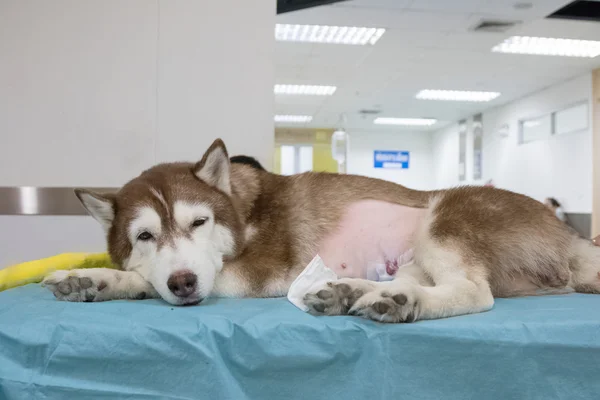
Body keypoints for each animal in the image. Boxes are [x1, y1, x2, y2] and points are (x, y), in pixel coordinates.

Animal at [43, 140, 600, 322]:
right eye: (144, 237)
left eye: (198, 222)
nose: (183, 284)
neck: (244, 212)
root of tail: (569, 234)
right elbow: (133, 274)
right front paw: (90, 278)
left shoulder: (259, 272)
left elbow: (150, 280)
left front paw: (114, 281)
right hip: (415, 252)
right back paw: (353, 292)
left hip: (445, 216)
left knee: (472, 291)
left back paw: (401, 303)